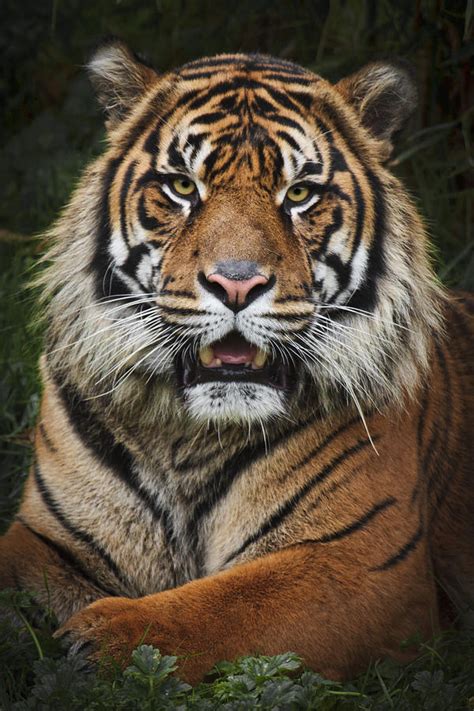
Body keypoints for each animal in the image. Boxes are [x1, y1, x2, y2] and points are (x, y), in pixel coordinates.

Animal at [0, 39, 474, 684]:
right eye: (181, 186)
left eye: (298, 194)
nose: (236, 284)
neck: (187, 435)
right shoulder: (46, 539)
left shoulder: (362, 561)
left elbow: (225, 606)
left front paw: (101, 638)